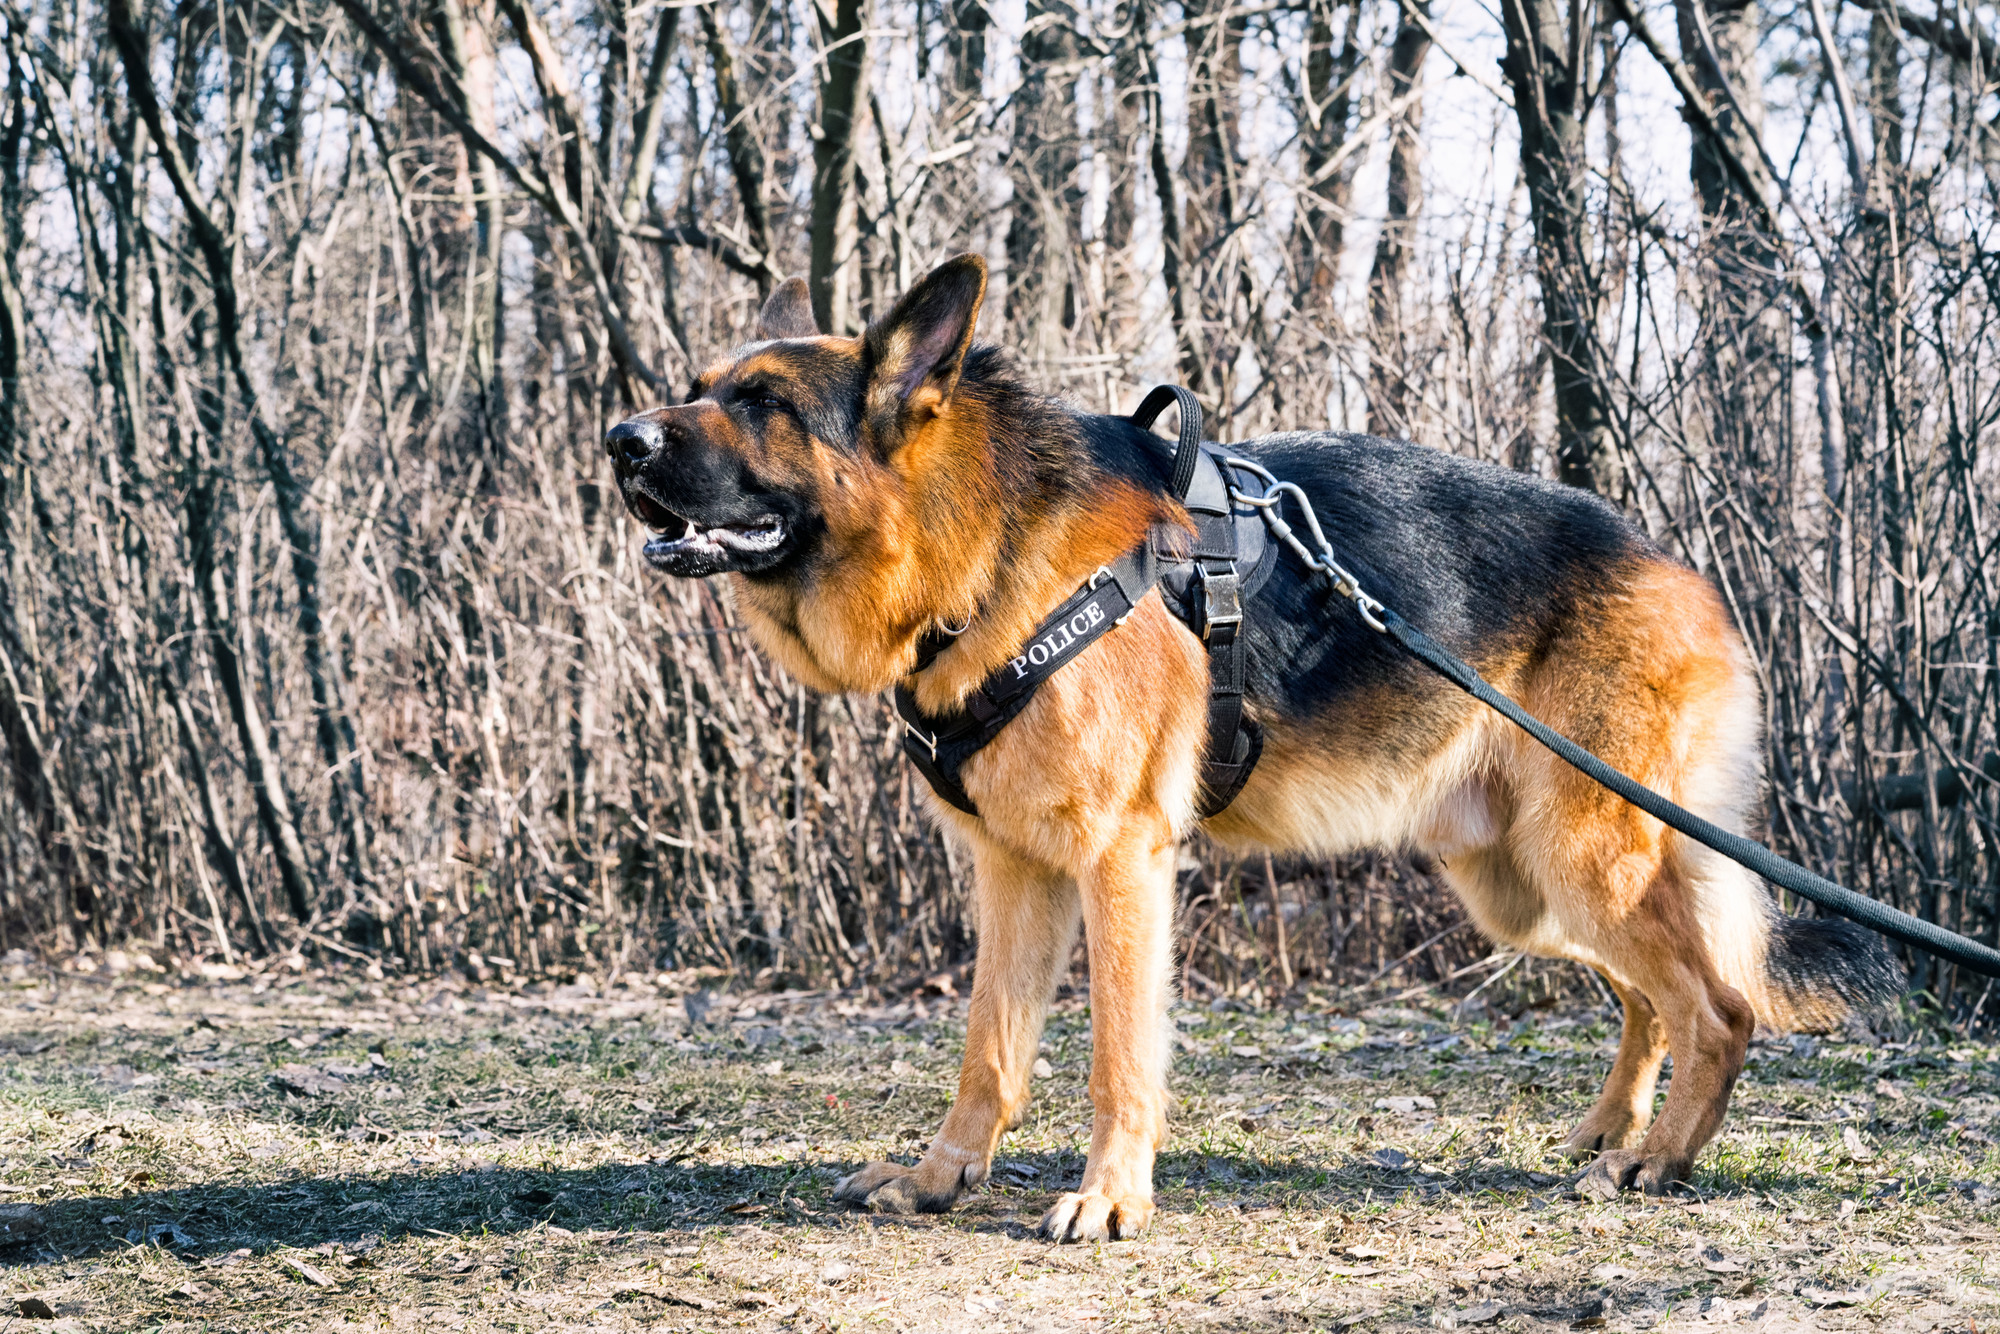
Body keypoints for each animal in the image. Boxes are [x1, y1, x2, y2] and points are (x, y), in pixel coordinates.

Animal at [604, 258, 1888, 1240]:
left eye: (763, 401)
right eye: (698, 389)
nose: (619, 437)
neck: (985, 546)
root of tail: (1677, 572)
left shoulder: (1120, 865)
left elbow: (1118, 1055)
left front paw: (1109, 1200)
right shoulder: (1016, 872)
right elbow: (988, 1050)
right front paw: (938, 1177)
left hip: (1586, 855)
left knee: (1717, 1004)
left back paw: (1654, 1159)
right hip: (1522, 886)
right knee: (1649, 995)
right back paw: (1611, 1129)